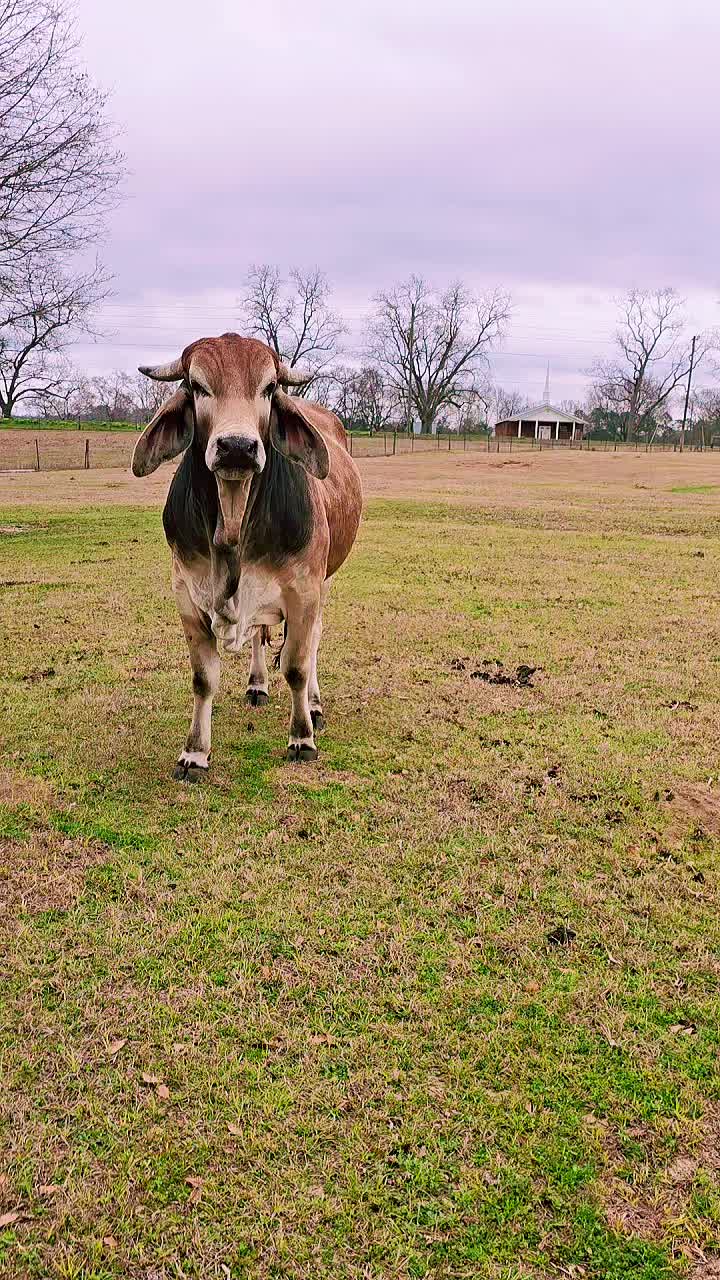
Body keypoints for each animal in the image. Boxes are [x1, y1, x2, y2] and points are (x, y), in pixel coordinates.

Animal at [131, 333, 363, 781]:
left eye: (269, 388)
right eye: (197, 385)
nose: (236, 446)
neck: (234, 525)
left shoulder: (305, 591)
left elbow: (297, 665)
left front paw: (302, 738)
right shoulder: (186, 593)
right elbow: (203, 678)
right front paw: (194, 754)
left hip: (325, 582)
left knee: (313, 642)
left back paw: (314, 705)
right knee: (258, 633)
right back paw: (257, 684)